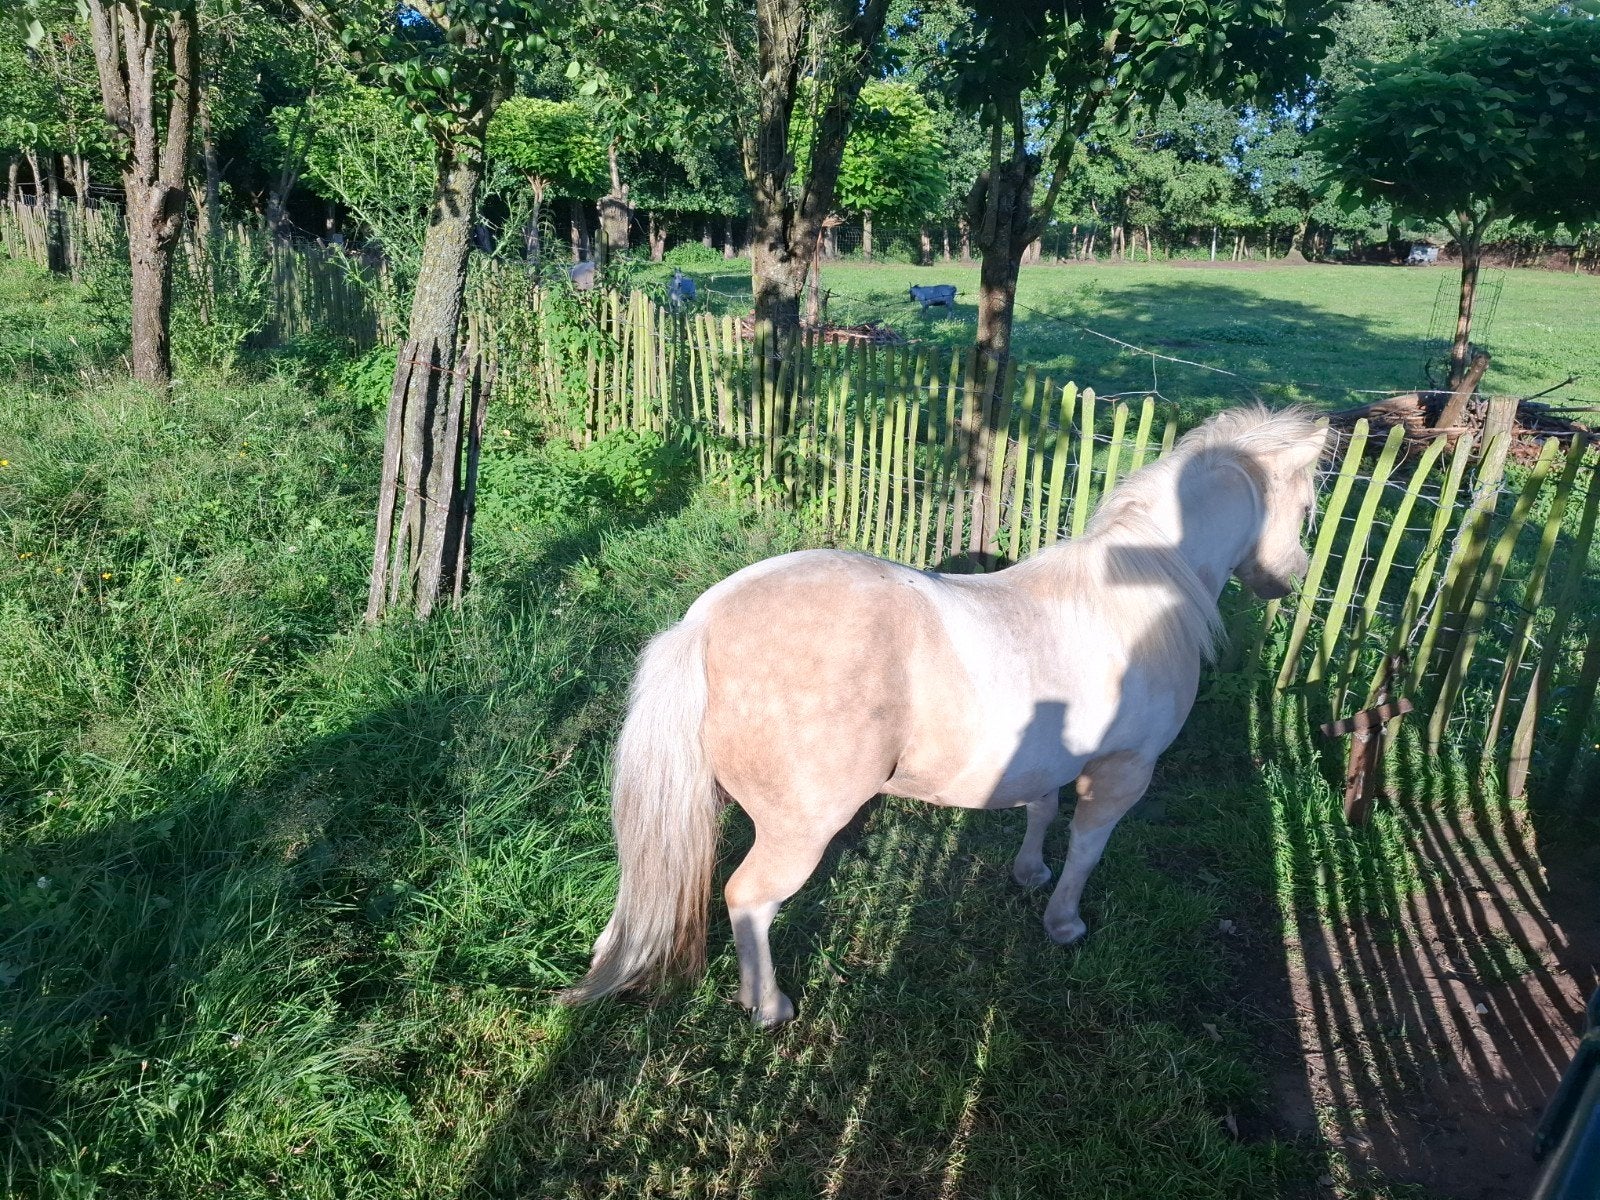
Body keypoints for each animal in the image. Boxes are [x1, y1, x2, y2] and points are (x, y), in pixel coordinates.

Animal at [563, 406, 1328, 1025]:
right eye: (1308, 503)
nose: (1289, 575)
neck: (1142, 591)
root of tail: (703, 622)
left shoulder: (1050, 756)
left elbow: (1041, 810)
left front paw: (1029, 875)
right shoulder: (1123, 771)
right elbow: (1086, 849)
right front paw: (1064, 924)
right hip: (798, 830)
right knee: (749, 898)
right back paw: (769, 1006)